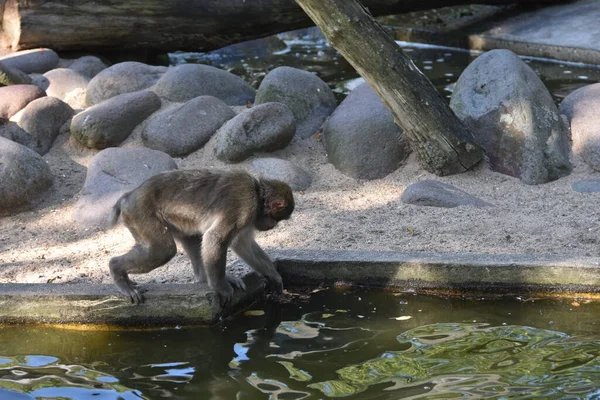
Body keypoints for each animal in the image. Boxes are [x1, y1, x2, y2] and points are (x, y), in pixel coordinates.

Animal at [109, 169, 296, 306]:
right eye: (276, 219)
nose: (273, 226)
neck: (257, 194)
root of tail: (128, 196)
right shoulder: (245, 205)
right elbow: (215, 238)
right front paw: (220, 287)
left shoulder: (250, 217)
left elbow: (243, 245)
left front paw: (274, 277)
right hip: (139, 213)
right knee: (162, 250)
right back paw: (116, 269)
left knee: (190, 238)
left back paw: (205, 277)